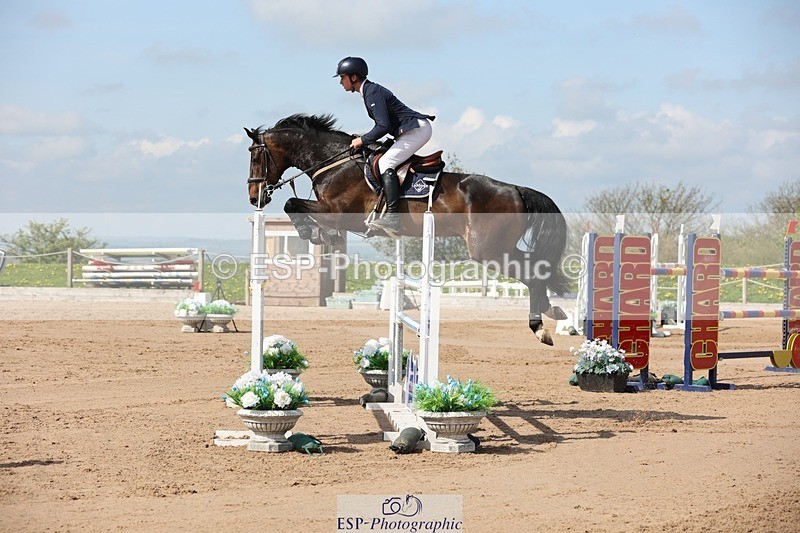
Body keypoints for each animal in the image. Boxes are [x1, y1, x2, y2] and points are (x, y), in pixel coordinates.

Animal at [245, 113, 569, 345]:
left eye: (256, 156)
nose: (254, 197)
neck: (335, 163)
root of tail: (515, 189)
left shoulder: (339, 214)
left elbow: (291, 203)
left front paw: (312, 233)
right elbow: (294, 205)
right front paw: (317, 234)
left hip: (488, 250)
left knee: (531, 273)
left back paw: (540, 327)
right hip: (499, 247)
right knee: (536, 268)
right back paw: (551, 310)